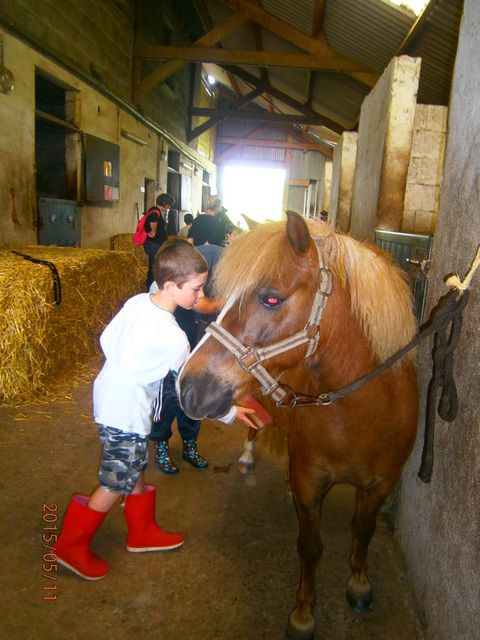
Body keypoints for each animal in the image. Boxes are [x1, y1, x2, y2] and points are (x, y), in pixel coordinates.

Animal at [178, 211, 418, 640]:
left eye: (271, 298)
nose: (187, 386)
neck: (360, 415)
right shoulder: (311, 484)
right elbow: (311, 546)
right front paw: (303, 614)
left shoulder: (380, 485)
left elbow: (363, 531)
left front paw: (359, 585)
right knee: (253, 427)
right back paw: (248, 457)